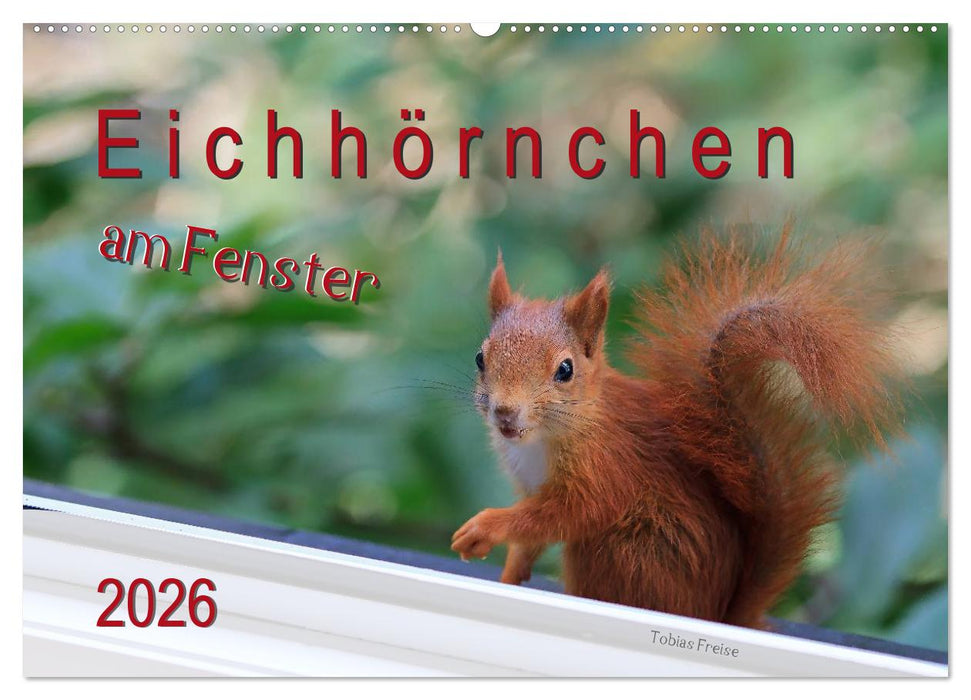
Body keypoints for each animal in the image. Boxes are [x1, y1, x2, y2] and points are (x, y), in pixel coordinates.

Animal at [450, 227, 904, 629]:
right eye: (479, 358)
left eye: (565, 369)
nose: (505, 413)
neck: (542, 440)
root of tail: (717, 614)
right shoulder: (530, 483)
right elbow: (532, 535)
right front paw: (510, 572)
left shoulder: (608, 465)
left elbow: (570, 512)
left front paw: (486, 526)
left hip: (625, 552)